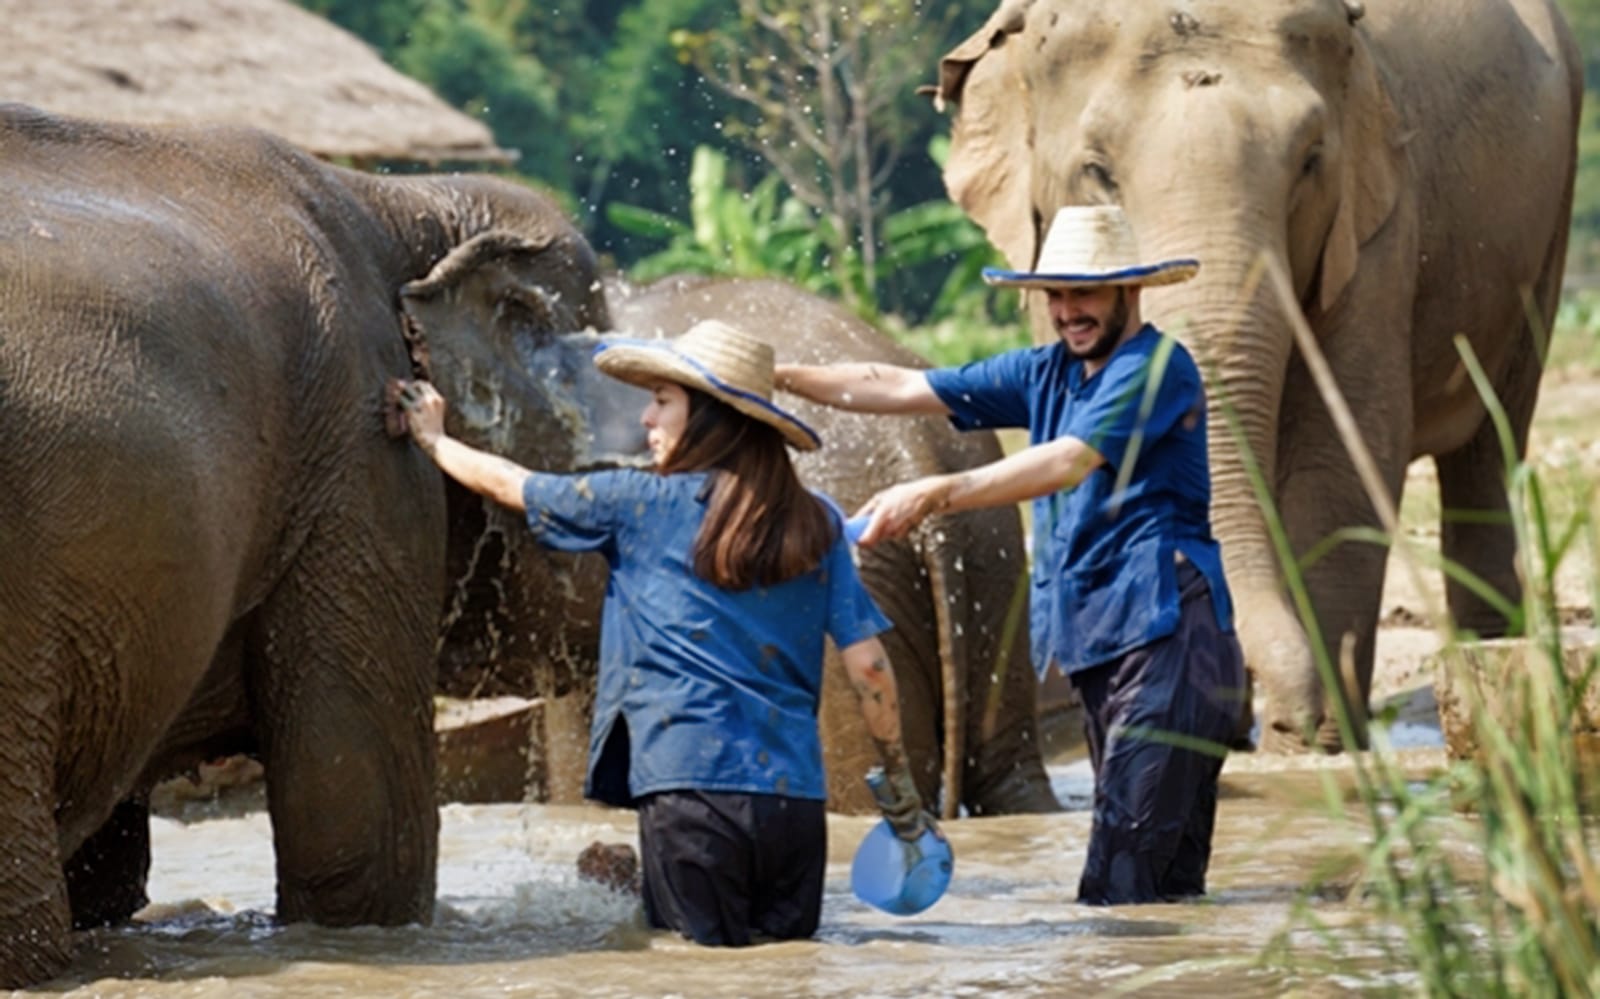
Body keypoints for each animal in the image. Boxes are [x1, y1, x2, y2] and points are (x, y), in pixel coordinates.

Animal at [933, 0, 1582, 751]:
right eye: (1096, 169)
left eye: (1309, 160)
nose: (1290, 715)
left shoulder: (1377, 224)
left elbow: (1340, 457)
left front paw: (1313, 746)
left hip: (1549, 232)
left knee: (1486, 450)